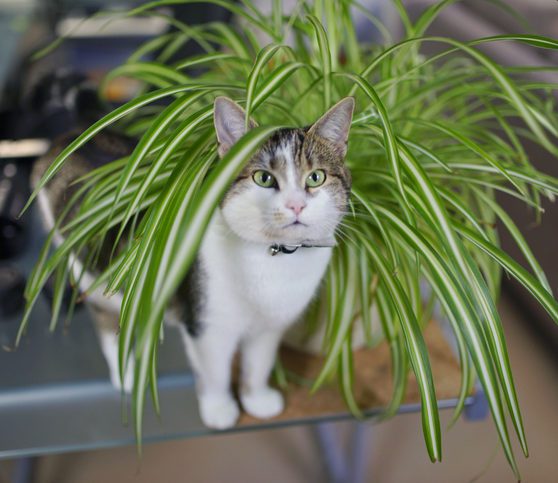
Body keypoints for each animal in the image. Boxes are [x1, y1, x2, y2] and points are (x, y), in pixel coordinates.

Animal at [32, 96, 354, 430]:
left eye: (315, 177)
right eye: (263, 178)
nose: (296, 205)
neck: (274, 261)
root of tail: (66, 138)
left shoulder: (269, 328)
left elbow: (258, 364)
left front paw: (257, 400)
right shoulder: (207, 325)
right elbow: (216, 372)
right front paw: (220, 409)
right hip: (89, 274)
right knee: (106, 321)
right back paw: (127, 375)